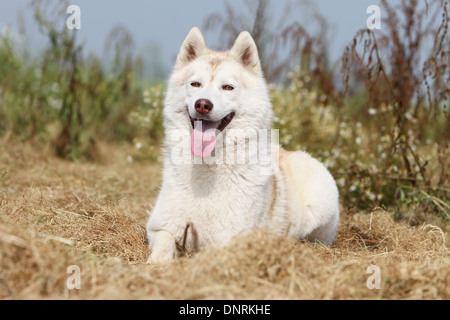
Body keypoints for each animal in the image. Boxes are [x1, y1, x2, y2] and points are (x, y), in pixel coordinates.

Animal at [146, 26, 340, 262]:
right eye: (195, 84)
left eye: (228, 87)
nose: (202, 104)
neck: (208, 168)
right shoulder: (159, 227)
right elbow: (163, 244)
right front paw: (156, 263)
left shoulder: (229, 241)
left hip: (319, 207)